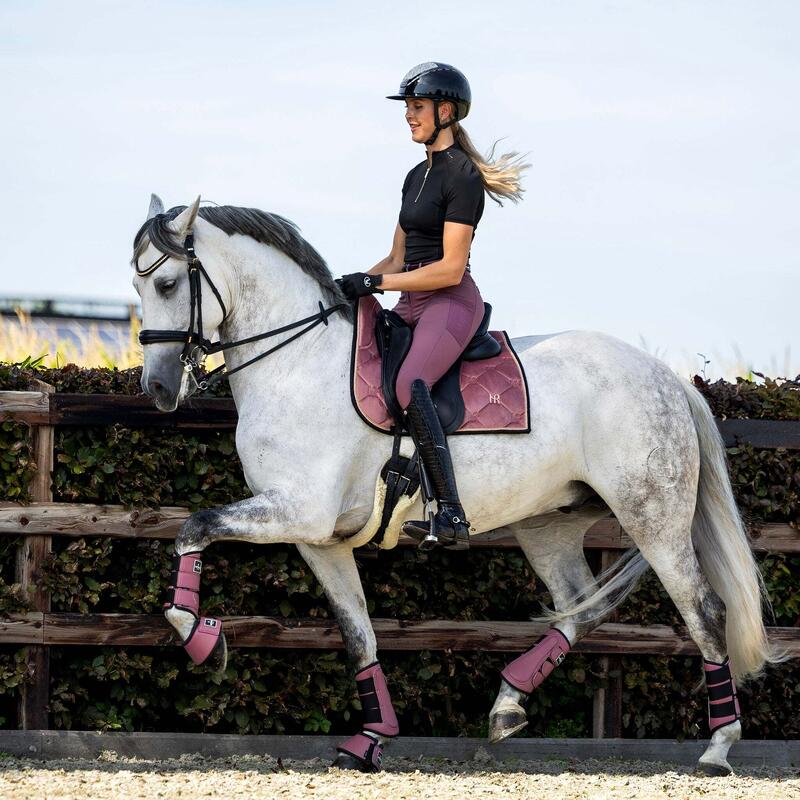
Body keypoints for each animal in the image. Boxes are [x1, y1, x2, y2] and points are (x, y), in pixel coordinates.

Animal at [133, 194, 780, 776]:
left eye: (165, 284)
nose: (158, 390)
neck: (297, 363)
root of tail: (666, 375)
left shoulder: (298, 511)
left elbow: (194, 528)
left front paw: (203, 642)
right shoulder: (319, 538)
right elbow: (357, 635)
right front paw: (369, 740)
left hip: (653, 515)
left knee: (703, 611)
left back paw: (718, 748)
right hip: (548, 525)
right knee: (581, 605)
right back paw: (507, 704)